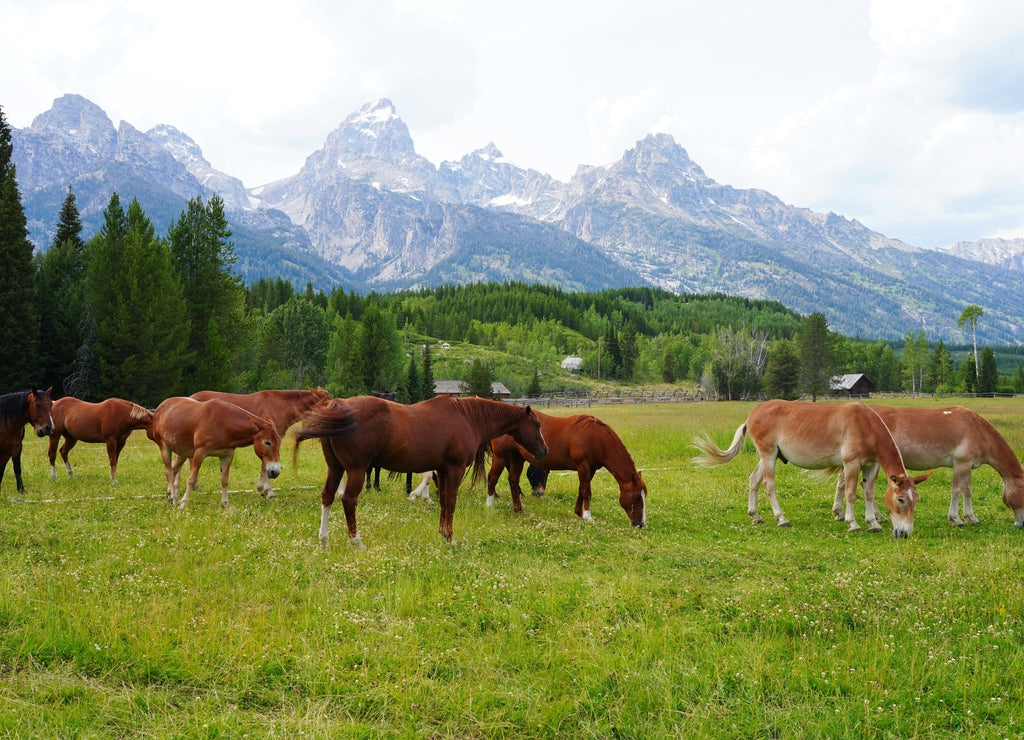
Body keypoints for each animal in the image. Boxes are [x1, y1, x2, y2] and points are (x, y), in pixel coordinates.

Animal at [149, 397, 282, 509]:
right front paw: (183, 504)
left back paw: (170, 495)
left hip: (182, 452)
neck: (223, 423)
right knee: (169, 472)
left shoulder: (227, 455)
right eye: (267, 443)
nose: (275, 472)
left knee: (174, 468)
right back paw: (175, 499)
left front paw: (225, 504)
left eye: (279, 442)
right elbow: (191, 479)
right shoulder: (200, 453)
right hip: (164, 447)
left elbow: (224, 480)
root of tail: (160, 408)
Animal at [294, 394, 548, 549]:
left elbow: (444, 501)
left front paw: (443, 533)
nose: (544, 450)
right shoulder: (454, 469)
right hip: (356, 470)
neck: (467, 418)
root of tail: (339, 406)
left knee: (327, 496)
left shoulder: (442, 470)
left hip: (335, 468)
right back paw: (358, 543)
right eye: (537, 425)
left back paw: (324, 540)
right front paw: (451, 538)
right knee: (348, 500)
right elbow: (451, 502)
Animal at [486, 411, 647, 527]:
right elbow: (586, 491)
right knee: (492, 478)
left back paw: (518, 509)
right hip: (501, 456)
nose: (641, 524)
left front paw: (579, 513)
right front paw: (588, 516)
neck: (596, 438)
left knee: (513, 480)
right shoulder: (583, 465)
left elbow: (582, 489)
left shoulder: (590, 469)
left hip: (517, 457)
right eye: (637, 497)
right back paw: (490, 506)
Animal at [692, 400, 931, 537]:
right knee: (769, 484)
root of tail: (752, 413)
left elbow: (869, 494)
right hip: (768, 455)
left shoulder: (871, 466)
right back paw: (782, 519)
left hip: (768, 455)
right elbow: (851, 493)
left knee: (754, 480)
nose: (904, 533)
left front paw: (873, 522)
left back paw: (756, 515)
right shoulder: (851, 464)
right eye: (901, 499)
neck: (866, 426)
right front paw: (852, 522)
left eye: (915, 500)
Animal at [833, 405, 1024, 528]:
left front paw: (971, 518)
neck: (977, 429)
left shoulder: (968, 466)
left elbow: (967, 491)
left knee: (845, 483)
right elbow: (956, 491)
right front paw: (956, 519)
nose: (1021, 524)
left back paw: (842, 513)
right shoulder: (960, 464)